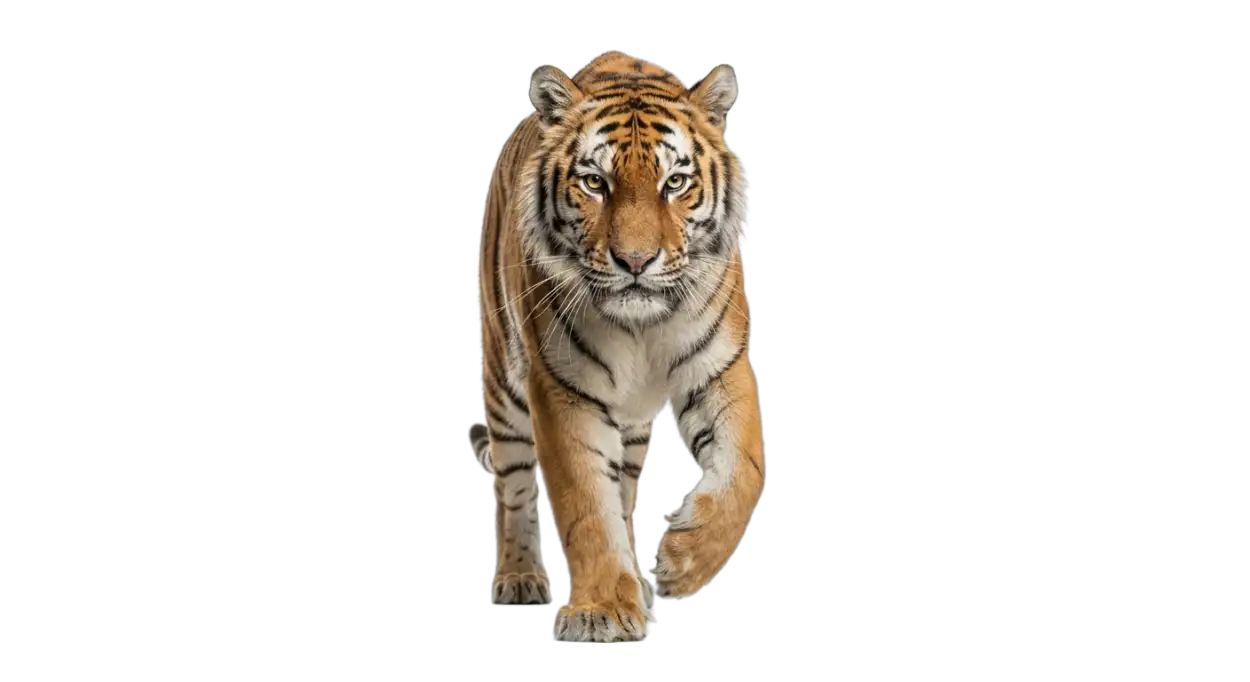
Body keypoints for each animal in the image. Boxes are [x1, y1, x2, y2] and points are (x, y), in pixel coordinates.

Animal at [468, 50, 764, 643]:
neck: (642, 328)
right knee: (514, 485)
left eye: (675, 182)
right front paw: (602, 608)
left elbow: (745, 470)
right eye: (594, 182)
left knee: (624, 491)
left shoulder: (720, 369)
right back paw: (519, 576)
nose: (635, 261)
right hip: (503, 381)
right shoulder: (561, 390)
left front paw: (682, 563)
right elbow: (585, 504)